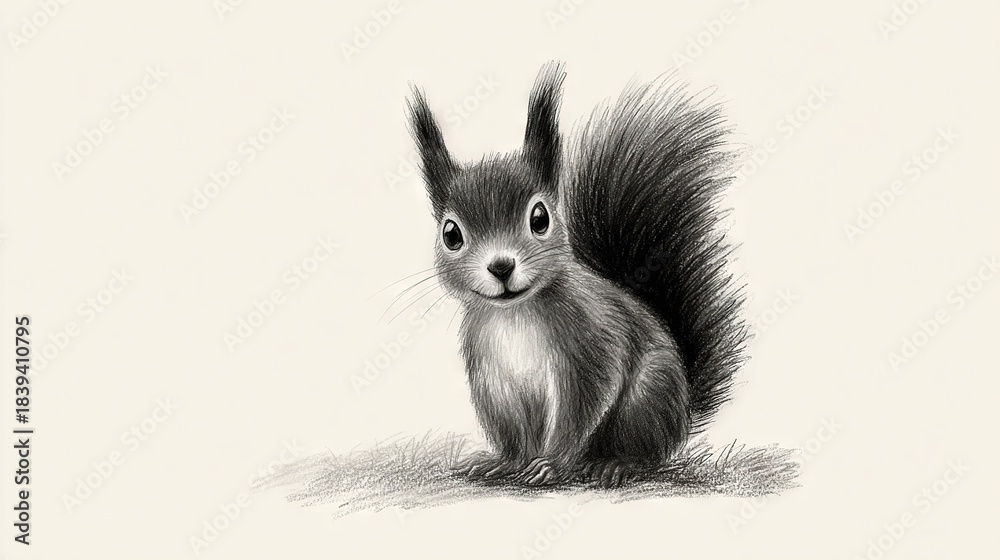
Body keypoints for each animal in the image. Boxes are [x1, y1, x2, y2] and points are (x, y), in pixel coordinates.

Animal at [405, 62, 747, 488]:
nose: (501, 266)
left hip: (647, 397)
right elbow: (510, 429)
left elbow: (581, 407)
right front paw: (505, 462)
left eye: (540, 218)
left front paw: (550, 464)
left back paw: (616, 464)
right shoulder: (492, 379)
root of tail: (684, 412)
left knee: (647, 452)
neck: (514, 315)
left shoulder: (588, 346)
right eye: (451, 234)